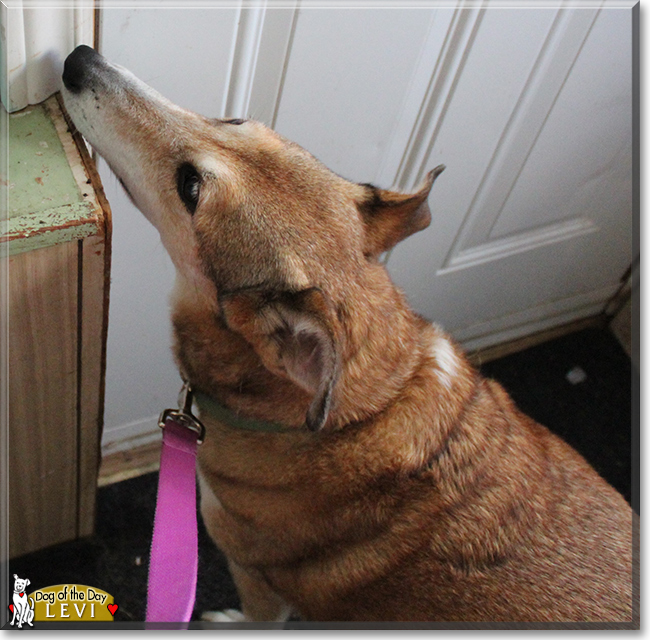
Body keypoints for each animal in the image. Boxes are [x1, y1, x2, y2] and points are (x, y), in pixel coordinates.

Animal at [60, 46, 632, 624]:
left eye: (190, 188)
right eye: (236, 120)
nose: (78, 59)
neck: (364, 407)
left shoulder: (255, 578)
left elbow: (256, 617)